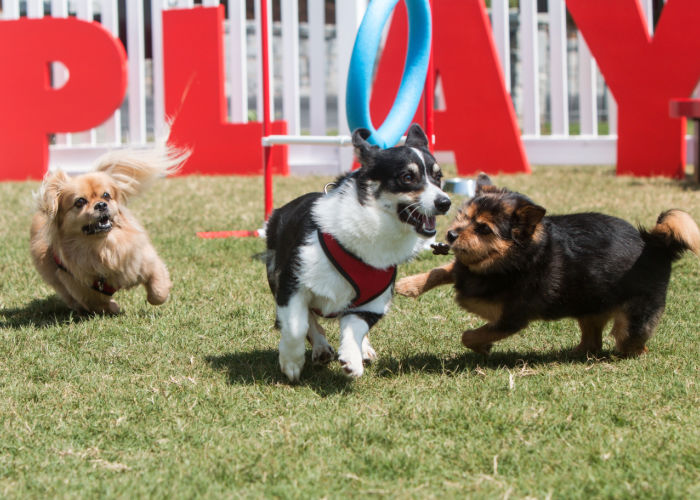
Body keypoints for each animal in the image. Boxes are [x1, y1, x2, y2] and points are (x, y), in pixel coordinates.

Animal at [30, 146, 186, 314]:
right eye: (80, 202)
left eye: (106, 195)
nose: (101, 204)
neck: (104, 246)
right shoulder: (82, 289)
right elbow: (99, 304)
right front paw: (115, 307)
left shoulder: (146, 261)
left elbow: (158, 292)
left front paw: (158, 296)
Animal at [266, 125, 452, 382]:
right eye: (407, 177)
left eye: (438, 177)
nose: (445, 203)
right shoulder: (292, 283)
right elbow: (296, 326)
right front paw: (291, 363)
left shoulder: (373, 301)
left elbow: (355, 327)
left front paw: (352, 358)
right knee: (308, 319)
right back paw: (320, 347)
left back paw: (362, 350)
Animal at [396, 175, 696, 356]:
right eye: (463, 216)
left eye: (483, 229)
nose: (451, 234)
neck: (506, 264)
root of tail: (656, 246)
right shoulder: (463, 270)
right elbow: (441, 270)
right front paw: (408, 285)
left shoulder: (511, 319)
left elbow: (470, 335)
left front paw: (483, 346)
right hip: (588, 308)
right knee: (592, 341)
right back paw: (574, 354)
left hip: (630, 323)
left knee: (631, 344)